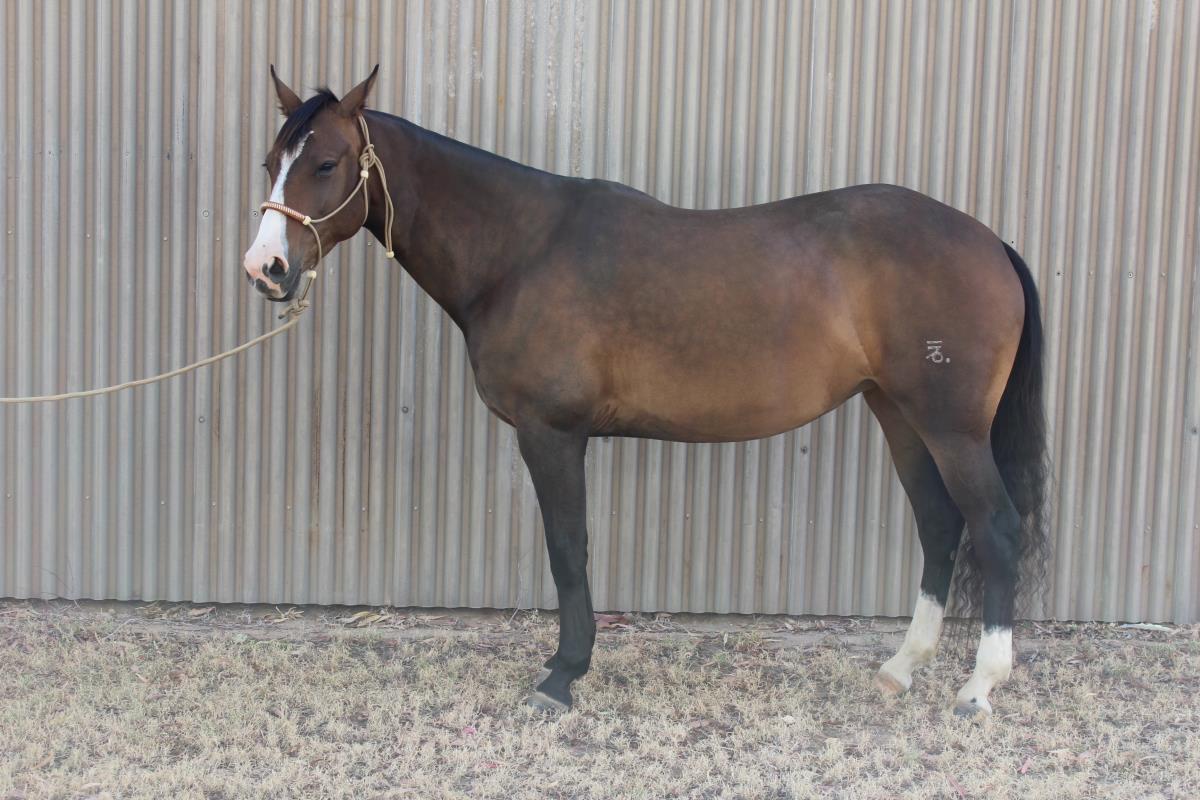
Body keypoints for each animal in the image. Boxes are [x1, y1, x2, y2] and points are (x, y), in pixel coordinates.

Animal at [244, 67, 1049, 717]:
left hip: (951, 429)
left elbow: (568, 548)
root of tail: (991, 243)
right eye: (271, 162)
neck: (520, 249)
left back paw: (979, 687)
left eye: (326, 162)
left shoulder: (552, 434)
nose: (266, 269)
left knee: (995, 528)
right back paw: (900, 669)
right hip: (900, 415)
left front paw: (561, 677)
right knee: (939, 526)